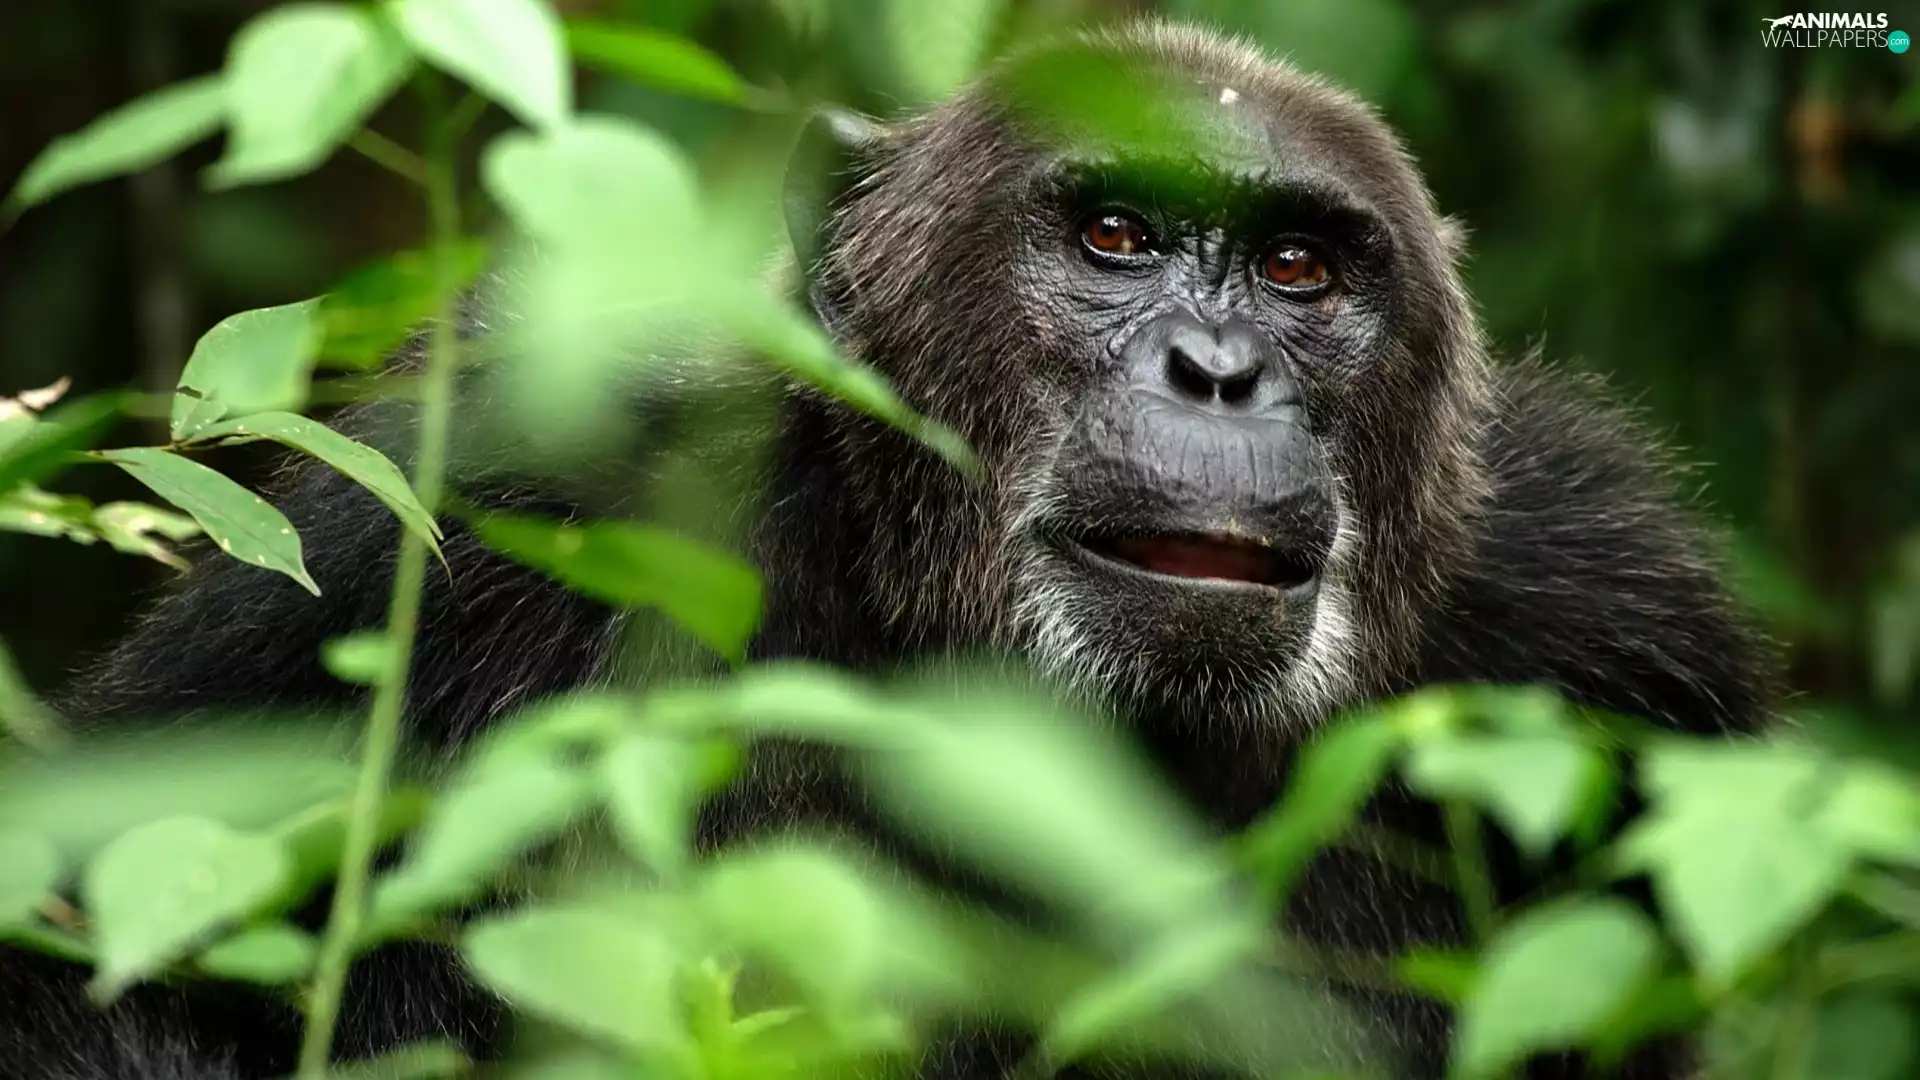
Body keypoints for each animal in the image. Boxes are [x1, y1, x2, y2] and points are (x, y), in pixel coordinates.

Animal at [0, 21, 1769, 1080]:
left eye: (1298, 271)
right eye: (1113, 236)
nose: (1215, 371)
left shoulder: (1609, 615)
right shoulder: (466, 520)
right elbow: (98, 955)